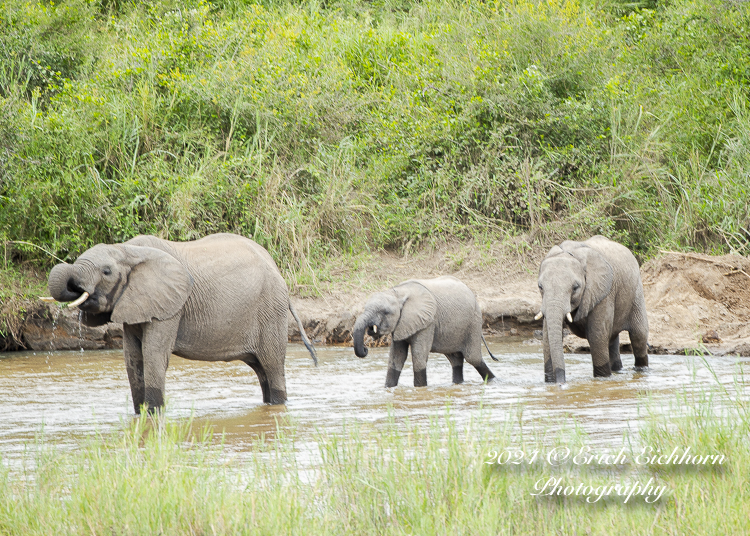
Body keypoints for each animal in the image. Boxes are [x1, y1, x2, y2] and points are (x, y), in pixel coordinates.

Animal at [46, 232, 318, 412]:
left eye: (106, 272)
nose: (75, 286)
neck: (127, 250)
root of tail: (277, 269)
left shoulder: (170, 308)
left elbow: (154, 354)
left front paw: (154, 415)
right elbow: (133, 357)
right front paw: (141, 415)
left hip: (271, 310)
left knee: (272, 366)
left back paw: (279, 405)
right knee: (261, 370)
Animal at [354, 276, 500, 386]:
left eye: (385, 312)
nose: (366, 349)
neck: (398, 292)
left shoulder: (428, 322)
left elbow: (418, 356)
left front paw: (420, 388)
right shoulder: (402, 323)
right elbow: (396, 358)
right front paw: (389, 388)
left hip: (473, 322)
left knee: (473, 358)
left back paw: (494, 381)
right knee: (456, 360)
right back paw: (458, 383)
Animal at [536, 237, 652, 384]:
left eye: (575, 287)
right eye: (540, 287)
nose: (561, 383)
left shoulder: (603, 292)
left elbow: (596, 334)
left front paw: (602, 378)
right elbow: (546, 337)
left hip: (636, 291)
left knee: (638, 336)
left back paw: (641, 370)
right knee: (612, 339)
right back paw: (617, 370)